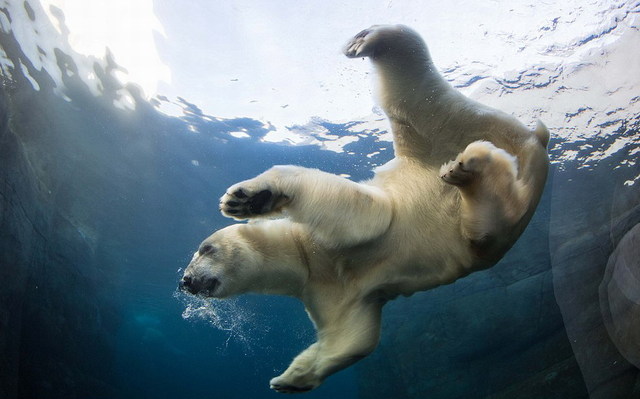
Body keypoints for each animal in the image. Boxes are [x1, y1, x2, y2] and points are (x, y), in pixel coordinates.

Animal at [179, 24, 552, 394]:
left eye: (205, 248)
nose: (185, 281)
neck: (309, 257)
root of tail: (532, 143)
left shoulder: (346, 231)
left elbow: (361, 214)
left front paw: (249, 198)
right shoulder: (335, 293)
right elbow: (353, 339)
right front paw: (291, 377)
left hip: (443, 138)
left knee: (416, 96)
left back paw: (373, 42)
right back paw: (468, 172)